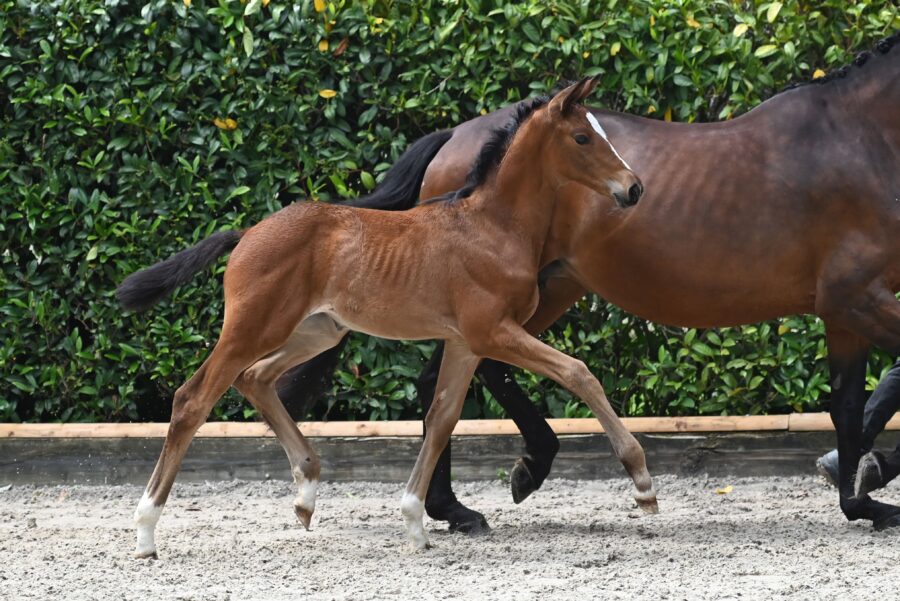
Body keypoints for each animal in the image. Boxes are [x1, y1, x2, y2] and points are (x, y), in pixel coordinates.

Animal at [118, 79, 652, 556]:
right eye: (582, 137)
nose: (634, 188)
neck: (493, 227)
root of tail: (247, 233)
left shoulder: (465, 342)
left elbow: (442, 417)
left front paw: (415, 522)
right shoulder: (493, 333)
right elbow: (578, 372)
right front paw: (643, 482)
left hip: (318, 332)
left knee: (256, 379)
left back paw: (306, 494)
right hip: (253, 328)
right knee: (193, 398)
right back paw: (145, 532)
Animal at [278, 31, 900, 528]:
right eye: (583, 138)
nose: (634, 189)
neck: (860, 140)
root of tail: (453, 137)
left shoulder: (844, 310)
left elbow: (849, 403)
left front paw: (861, 495)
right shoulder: (856, 299)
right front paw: (870, 481)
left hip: (545, 290)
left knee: (453, 379)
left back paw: (462, 502)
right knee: (463, 377)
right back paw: (500, 482)